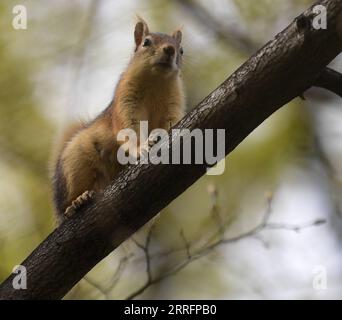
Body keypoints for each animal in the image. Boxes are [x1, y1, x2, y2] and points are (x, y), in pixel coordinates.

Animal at [51, 17, 184, 222]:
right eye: (146, 42)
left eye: (181, 50)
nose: (170, 50)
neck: (156, 83)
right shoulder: (125, 102)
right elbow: (129, 129)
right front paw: (142, 147)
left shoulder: (174, 103)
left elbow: (171, 121)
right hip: (74, 162)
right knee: (67, 203)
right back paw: (77, 201)